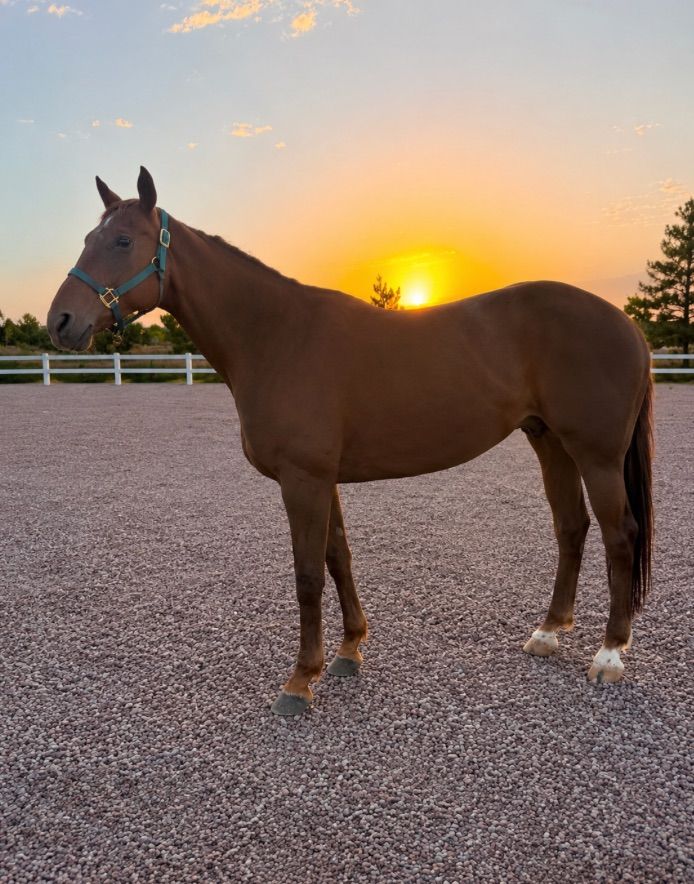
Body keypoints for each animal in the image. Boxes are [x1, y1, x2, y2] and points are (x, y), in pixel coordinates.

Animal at [47, 167, 654, 715]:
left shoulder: (303, 480)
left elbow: (308, 574)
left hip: (596, 455)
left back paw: (608, 656)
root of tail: (625, 323)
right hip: (549, 442)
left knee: (619, 535)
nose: (61, 322)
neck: (276, 336)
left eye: (123, 240)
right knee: (571, 528)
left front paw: (299, 681)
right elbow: (339, 557)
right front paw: (348, 651)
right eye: (87, 239)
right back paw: (548, 633)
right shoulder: (322, 479)